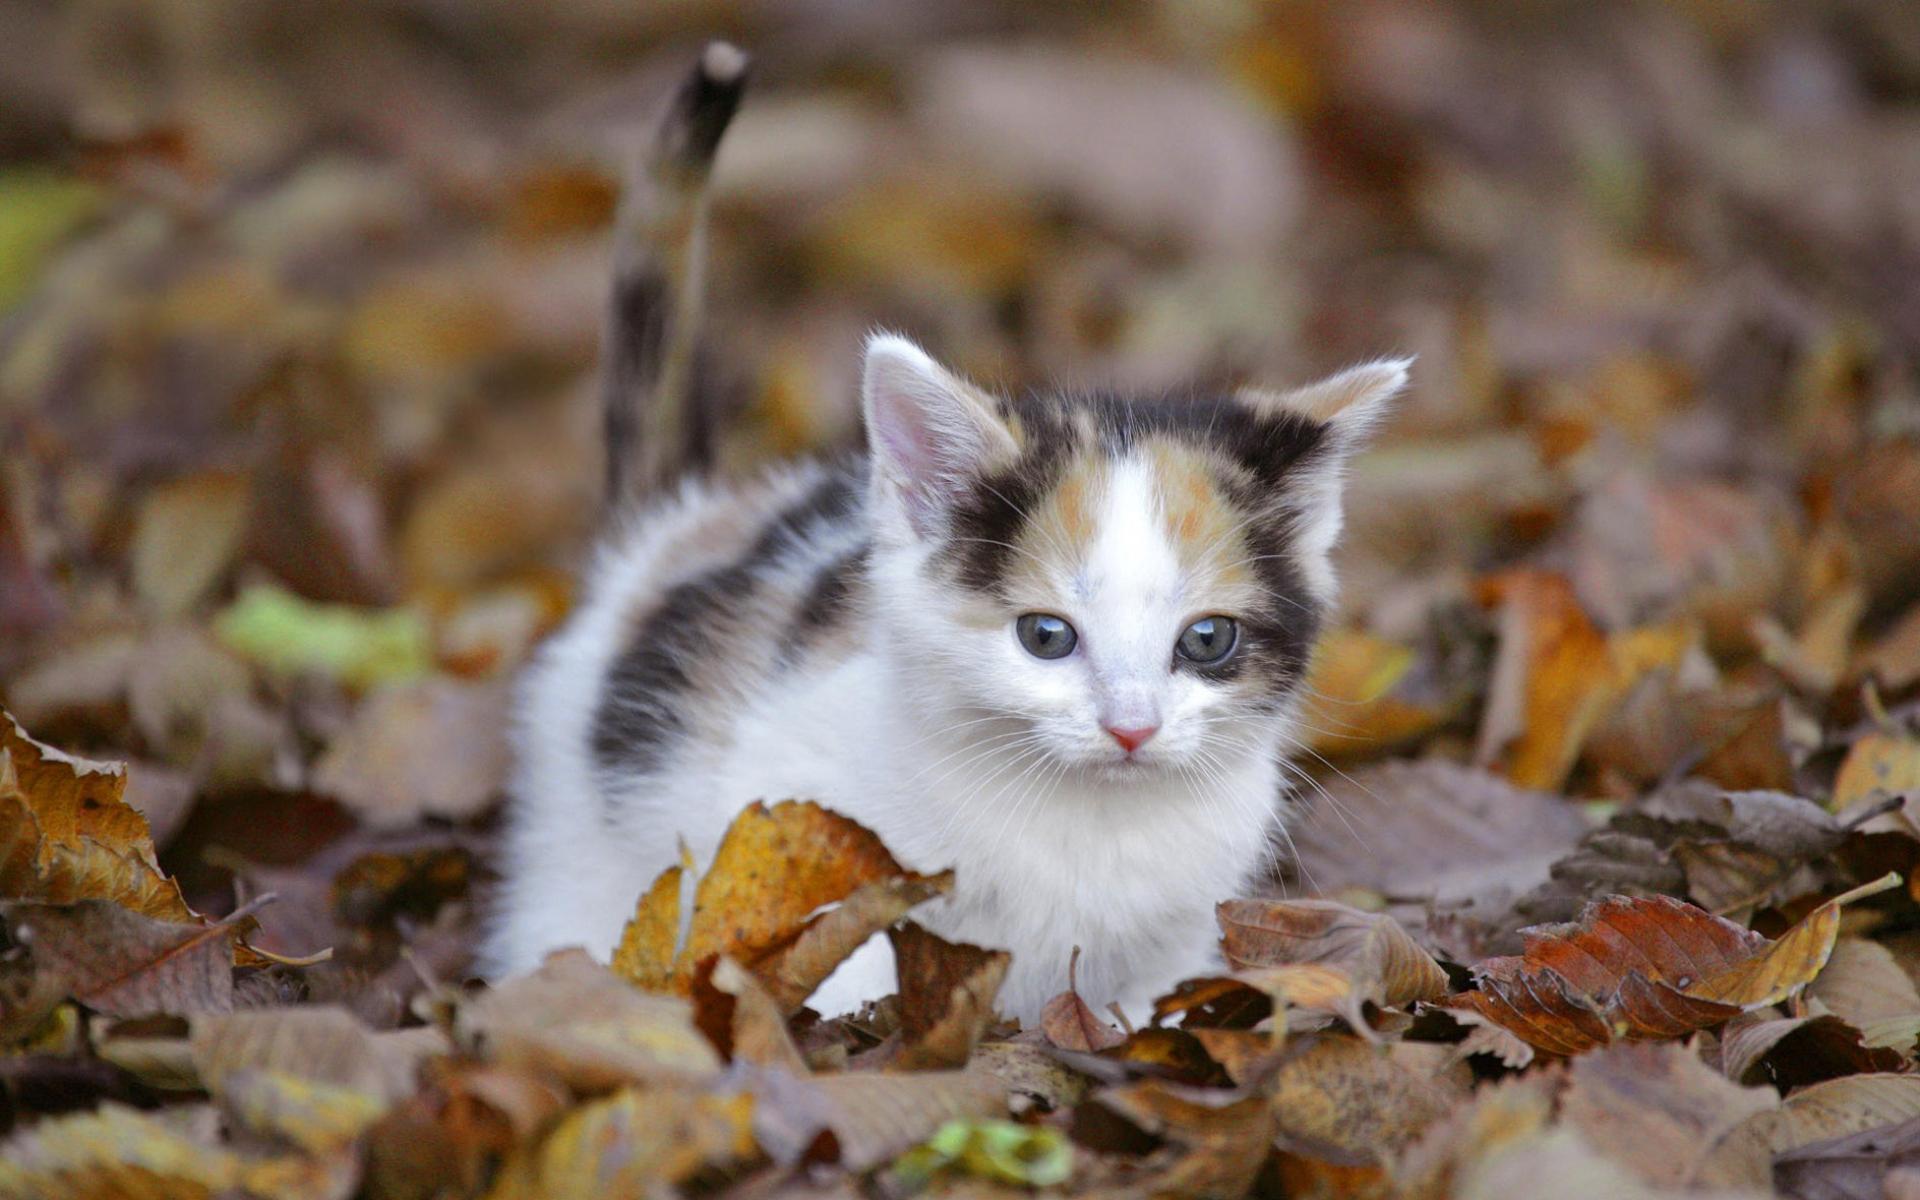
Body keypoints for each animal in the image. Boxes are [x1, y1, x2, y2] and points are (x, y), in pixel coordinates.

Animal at [483, 46, 1413, 1021]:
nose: (1131, 730)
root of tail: (680, 526)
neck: (1088, 824)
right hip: (579, 830)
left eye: (1206, 640)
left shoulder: (1182, 923)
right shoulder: (800, 828)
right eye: (1045, 636)